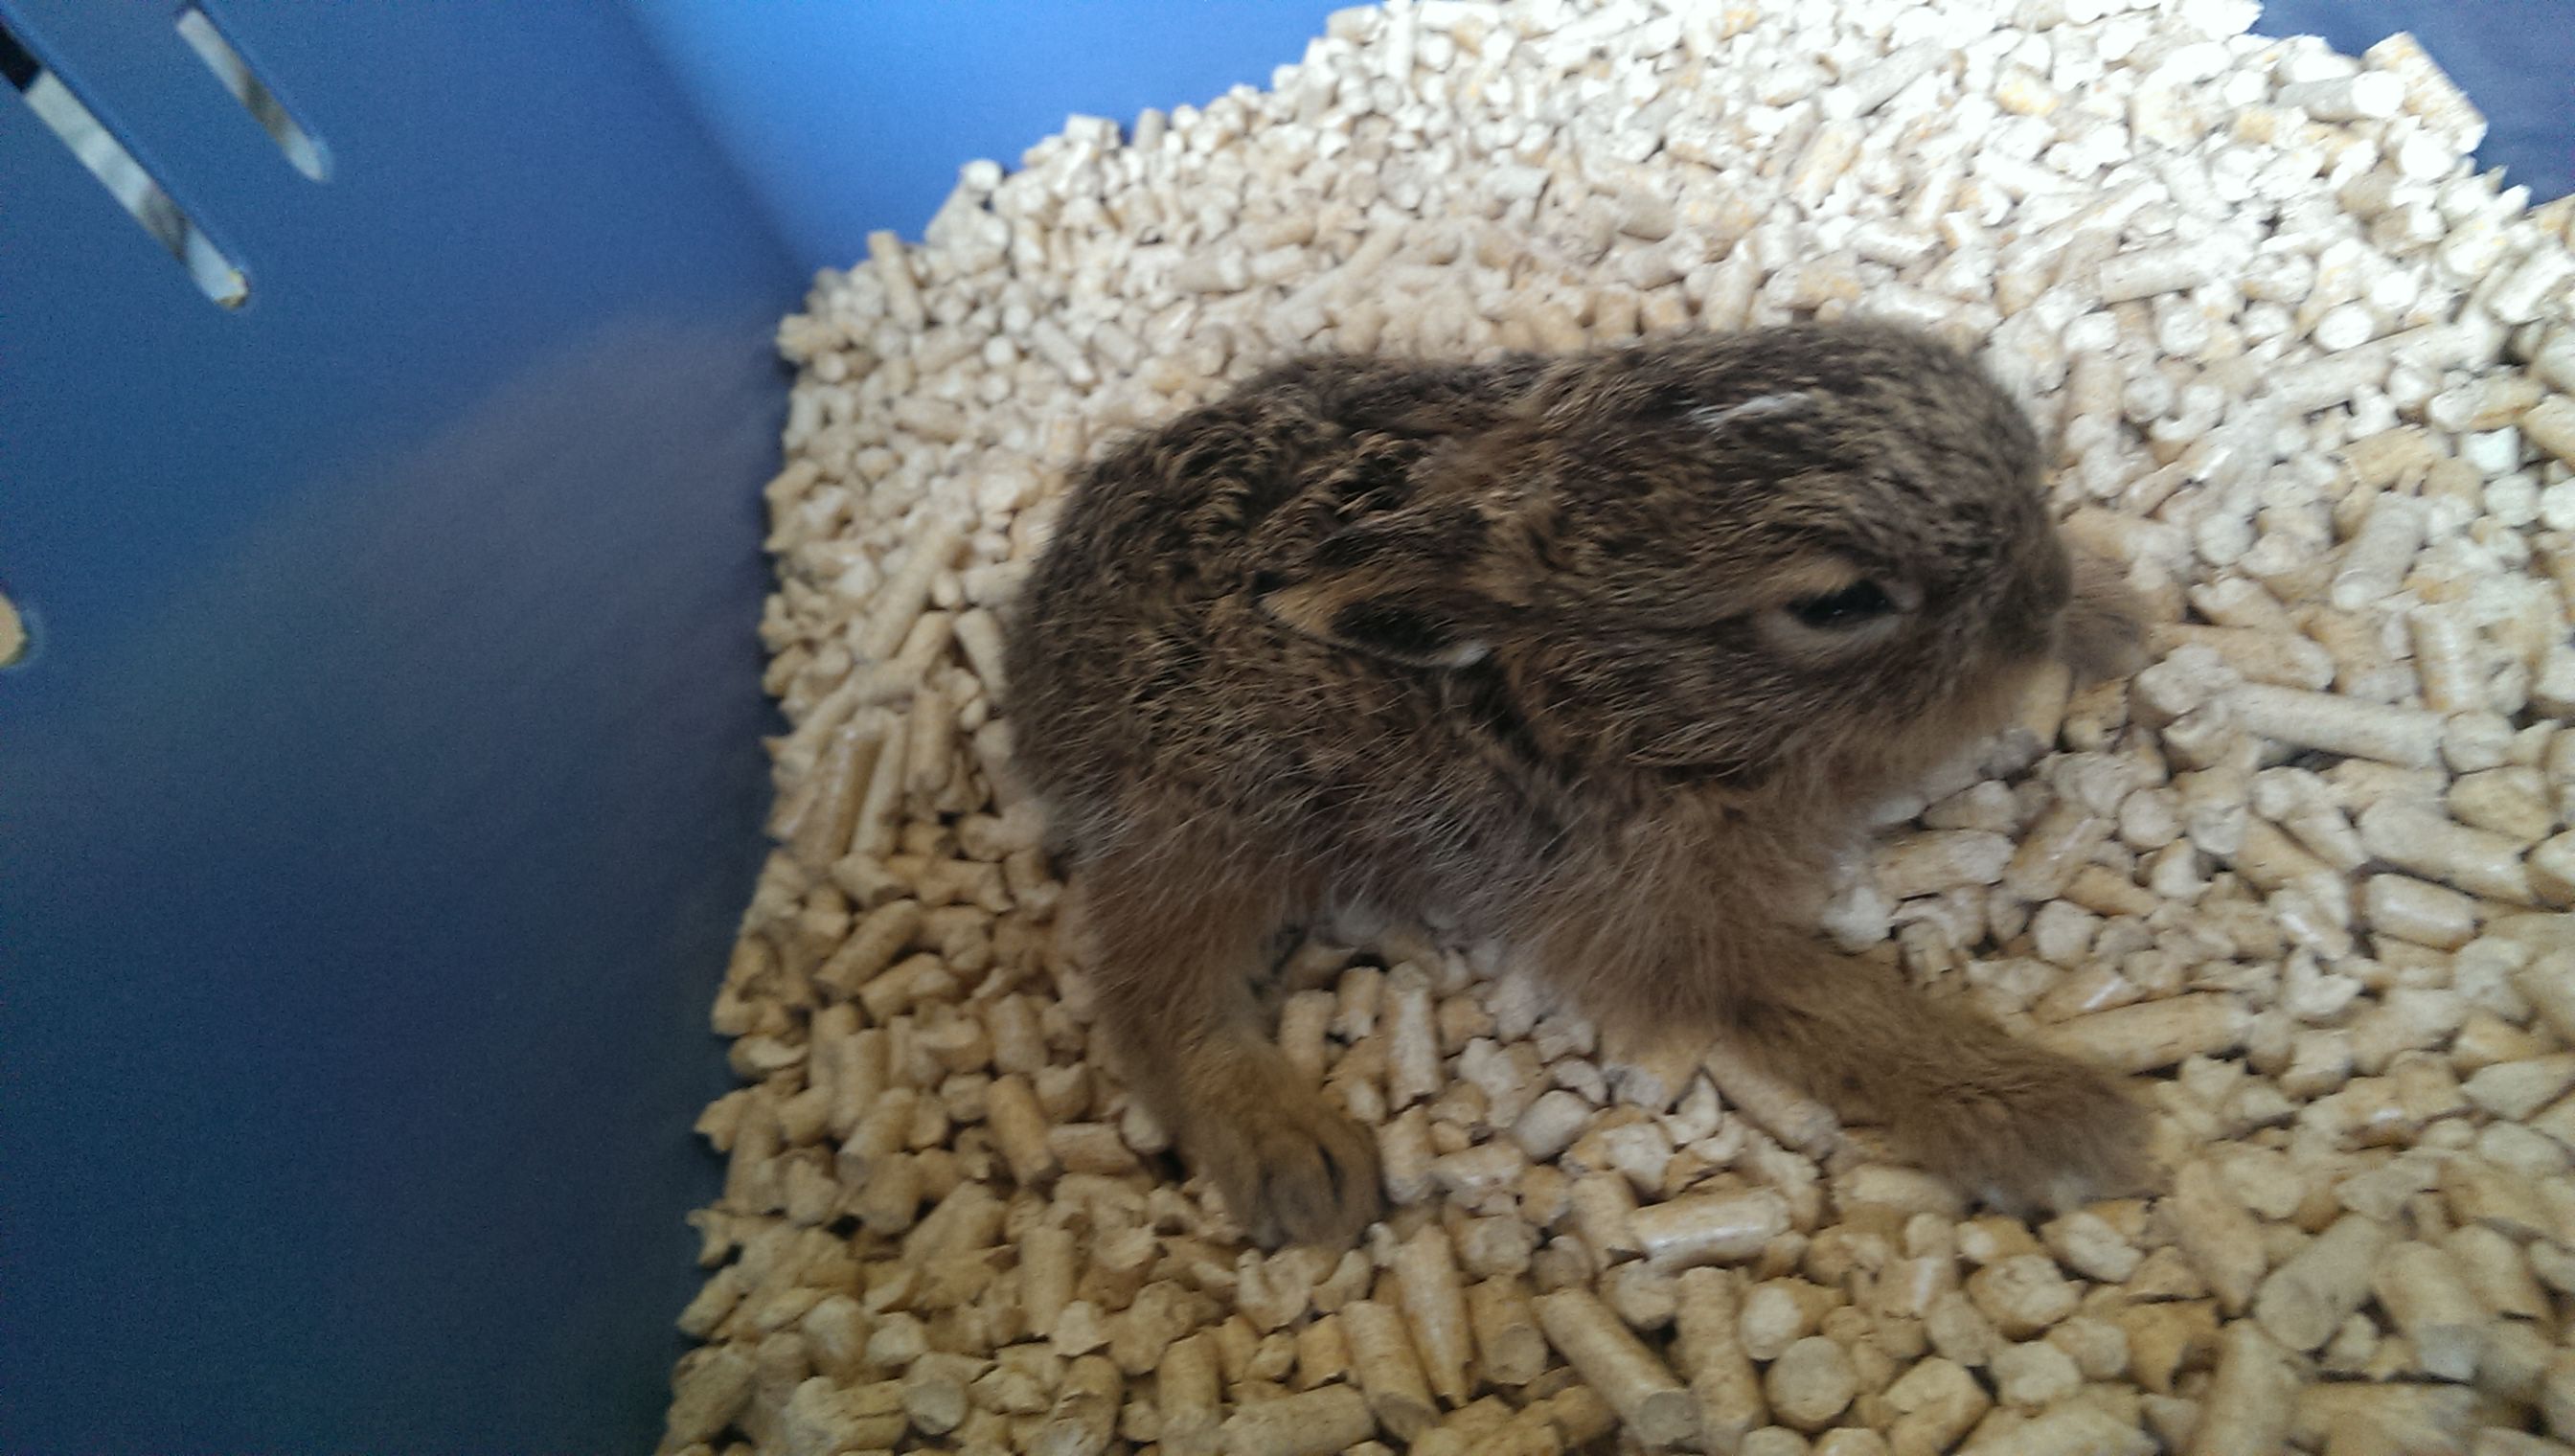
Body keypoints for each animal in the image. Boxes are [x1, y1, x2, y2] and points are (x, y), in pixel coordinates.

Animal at [1002, 320, 2152, 1248]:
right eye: (1839, 605)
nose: (2043, 594)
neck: (1602, 698)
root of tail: (1031, 658)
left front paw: (2113, 612)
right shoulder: (1664, 918)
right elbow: (1842, 1006)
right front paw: (2064, 1119)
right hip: (1208, 822)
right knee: (1151, 991)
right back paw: (1301, 1160)